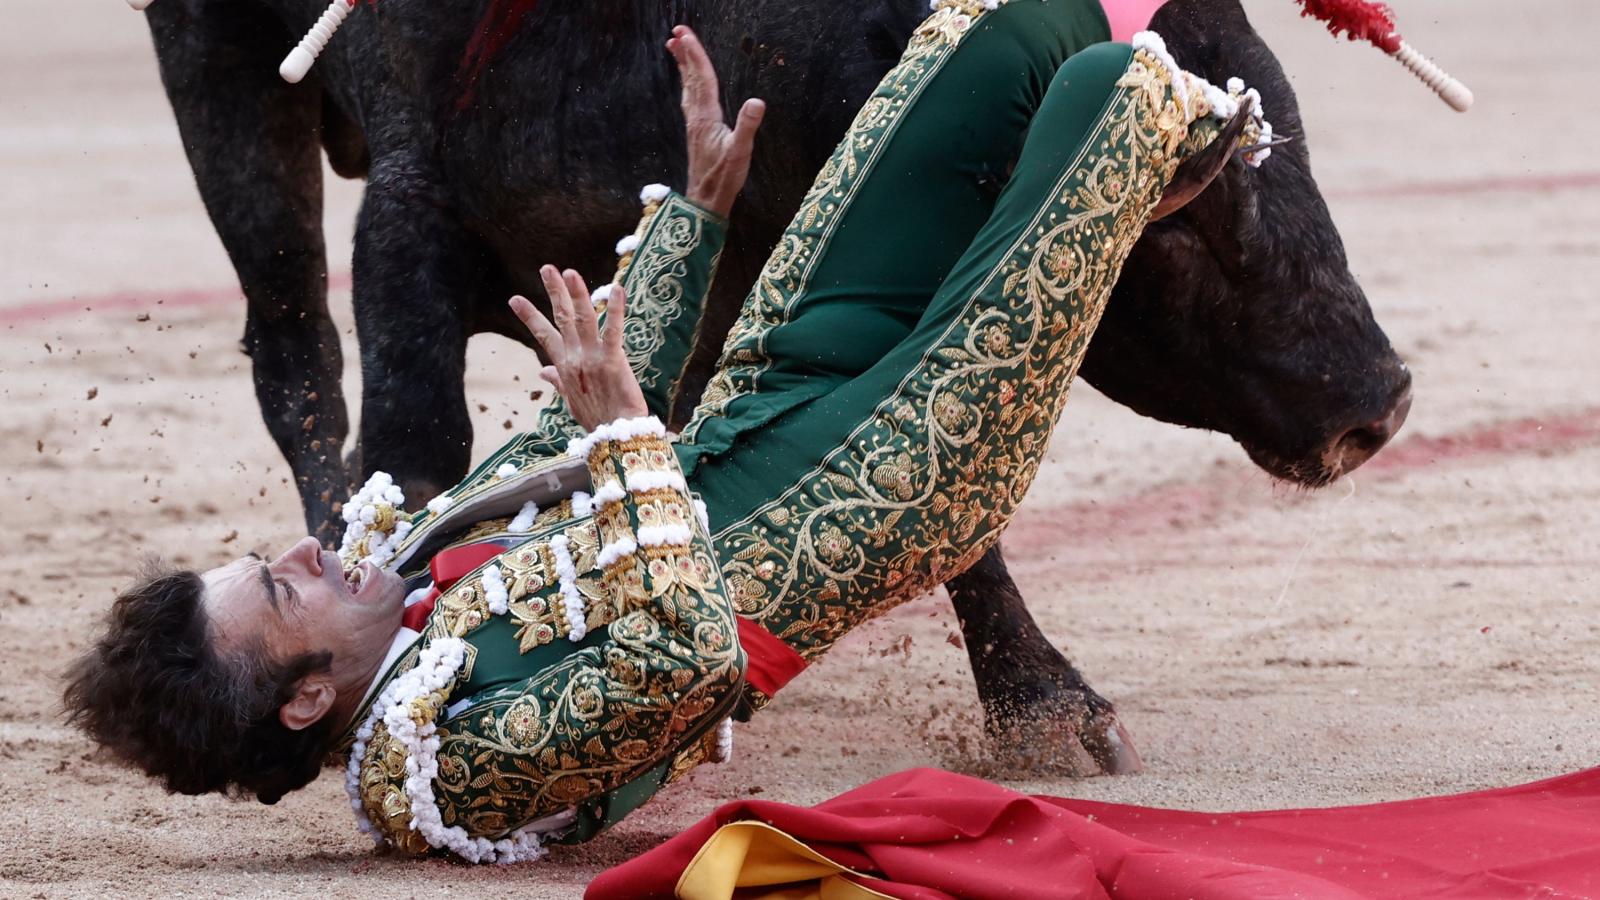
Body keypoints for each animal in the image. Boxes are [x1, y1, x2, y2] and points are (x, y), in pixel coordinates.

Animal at [140, 0, 1414, 771]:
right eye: (1188, 220)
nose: (1377, 400)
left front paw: (1045, 711)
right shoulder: (410, 215)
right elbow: (411, 436)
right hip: (221, 80)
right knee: (293, 343)